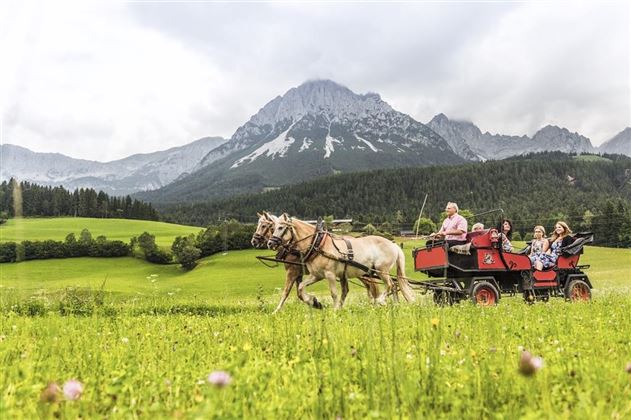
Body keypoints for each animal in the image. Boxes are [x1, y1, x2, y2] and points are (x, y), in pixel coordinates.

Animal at [252, 213, 380, 312]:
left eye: (264, 226)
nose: (254, 240)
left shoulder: (292, 271)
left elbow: (286, 292)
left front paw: (277, 310)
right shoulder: (300, 273)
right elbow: (299, 292)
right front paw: (314, 302)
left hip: (360, 272)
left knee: (371, 286)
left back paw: (373, 303)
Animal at [270, 213, 418, 308]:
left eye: (281, 227)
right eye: (273, 228)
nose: (270, 243)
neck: (318, 244)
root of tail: (393, 245)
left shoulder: (330, 274)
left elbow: (334, 294)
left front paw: (335, 310)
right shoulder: (316, 275)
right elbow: (301, 287)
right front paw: (313, 301)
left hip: (382, 270)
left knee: (390, 285)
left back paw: (380, 301)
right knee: (392, 286)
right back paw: (394, 304)